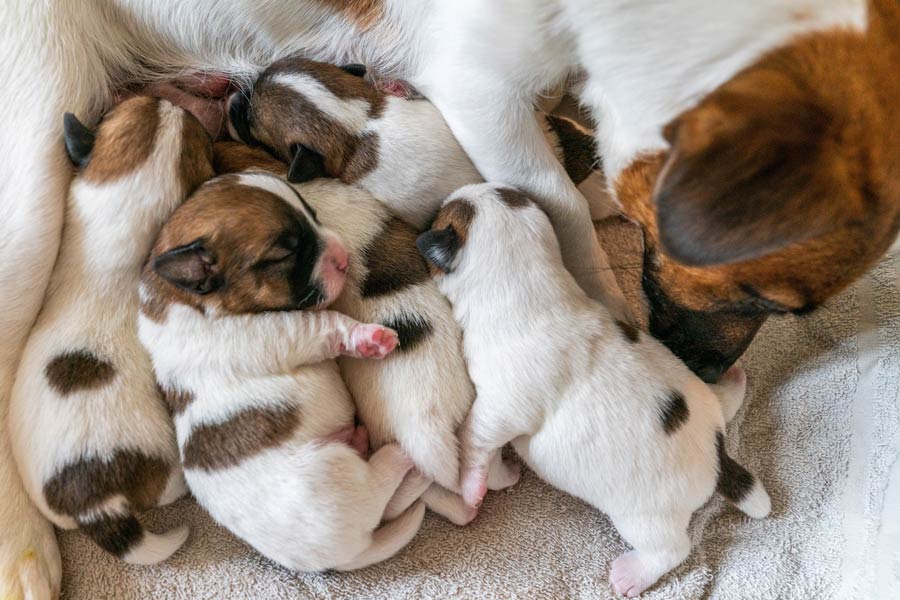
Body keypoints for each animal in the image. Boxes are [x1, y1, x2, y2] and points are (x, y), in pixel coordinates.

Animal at [137, 170, 426, 572]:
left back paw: (358, 438)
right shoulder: (277, 332)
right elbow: (326, 322)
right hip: (336, 474)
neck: (189, 299)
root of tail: (353, 551)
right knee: (381, 483)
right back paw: (400, 456)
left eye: (314, 214)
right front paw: (370, 338)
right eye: (285, 252)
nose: (344, 258)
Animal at [418, 184, 768, 600]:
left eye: (440, 217)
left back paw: (632, 575)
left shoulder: (499, 408)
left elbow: (475, 441)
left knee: (672, 549)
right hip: (705, 404)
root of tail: (719, 455)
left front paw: (475, 487)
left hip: (644, 518)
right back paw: (734, 383)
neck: (525, 282)